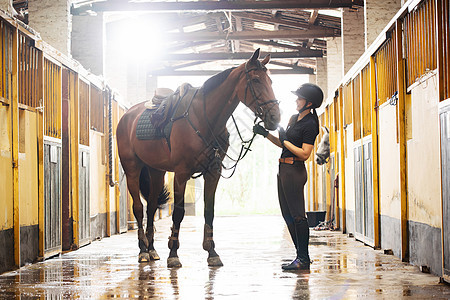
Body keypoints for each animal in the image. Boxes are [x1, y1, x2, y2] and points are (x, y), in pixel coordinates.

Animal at [114, 49, 280, 268]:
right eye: (255, 80)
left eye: (270, 81)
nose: (275, 117)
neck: (204, 118)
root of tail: (127, 117)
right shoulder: (181, 173)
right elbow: (178, 212)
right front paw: (173, 254)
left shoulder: (213, 172)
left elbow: (209, 211)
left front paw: (212, 252)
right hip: (132, 168)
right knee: (139, 209)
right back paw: (142, 251)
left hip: (156, 171)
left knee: (151, 207)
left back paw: (152, 250)